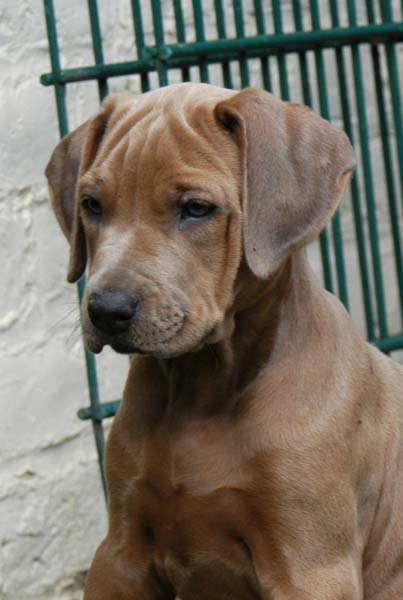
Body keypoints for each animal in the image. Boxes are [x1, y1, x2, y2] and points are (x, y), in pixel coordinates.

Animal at [45, 84, 403, 600]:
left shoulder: (311, 566)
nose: (107, 310)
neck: (201, 388)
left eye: (196, 209)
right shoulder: (121, 556)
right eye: (92, 205)